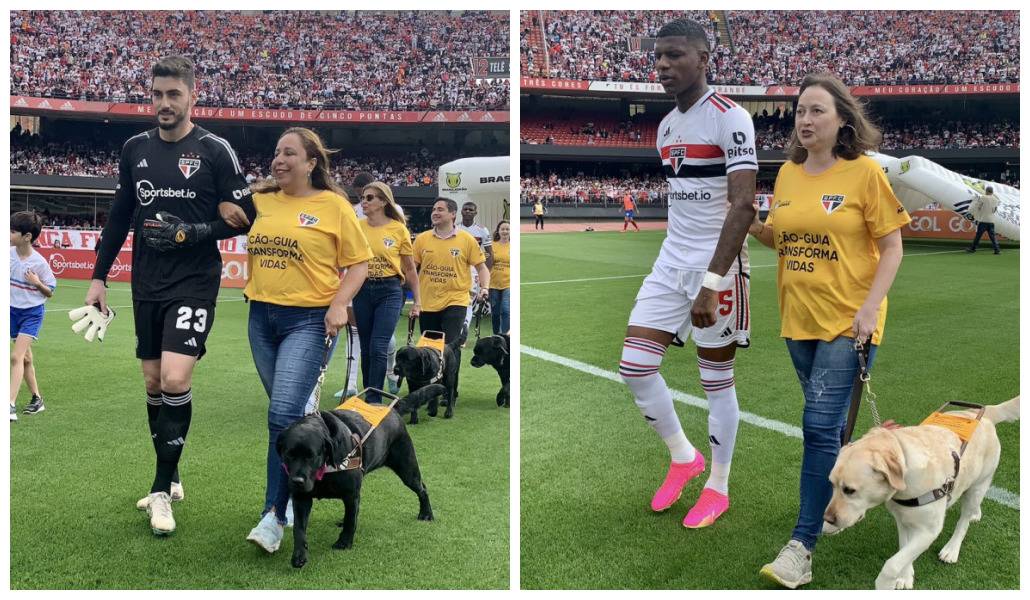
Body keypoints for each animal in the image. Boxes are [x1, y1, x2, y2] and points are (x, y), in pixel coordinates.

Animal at [276, 384, 440, 568]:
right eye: (288, 454)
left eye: (312, 456)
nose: (297, 481)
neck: (326, 468)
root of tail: (392, 409)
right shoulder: (301, 498)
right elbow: (299, 529)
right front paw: (299, 555)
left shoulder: (351, 493)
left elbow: (350, 521)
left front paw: (344, 542)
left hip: (407, 468)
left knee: (422, 488)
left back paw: (426, 514)